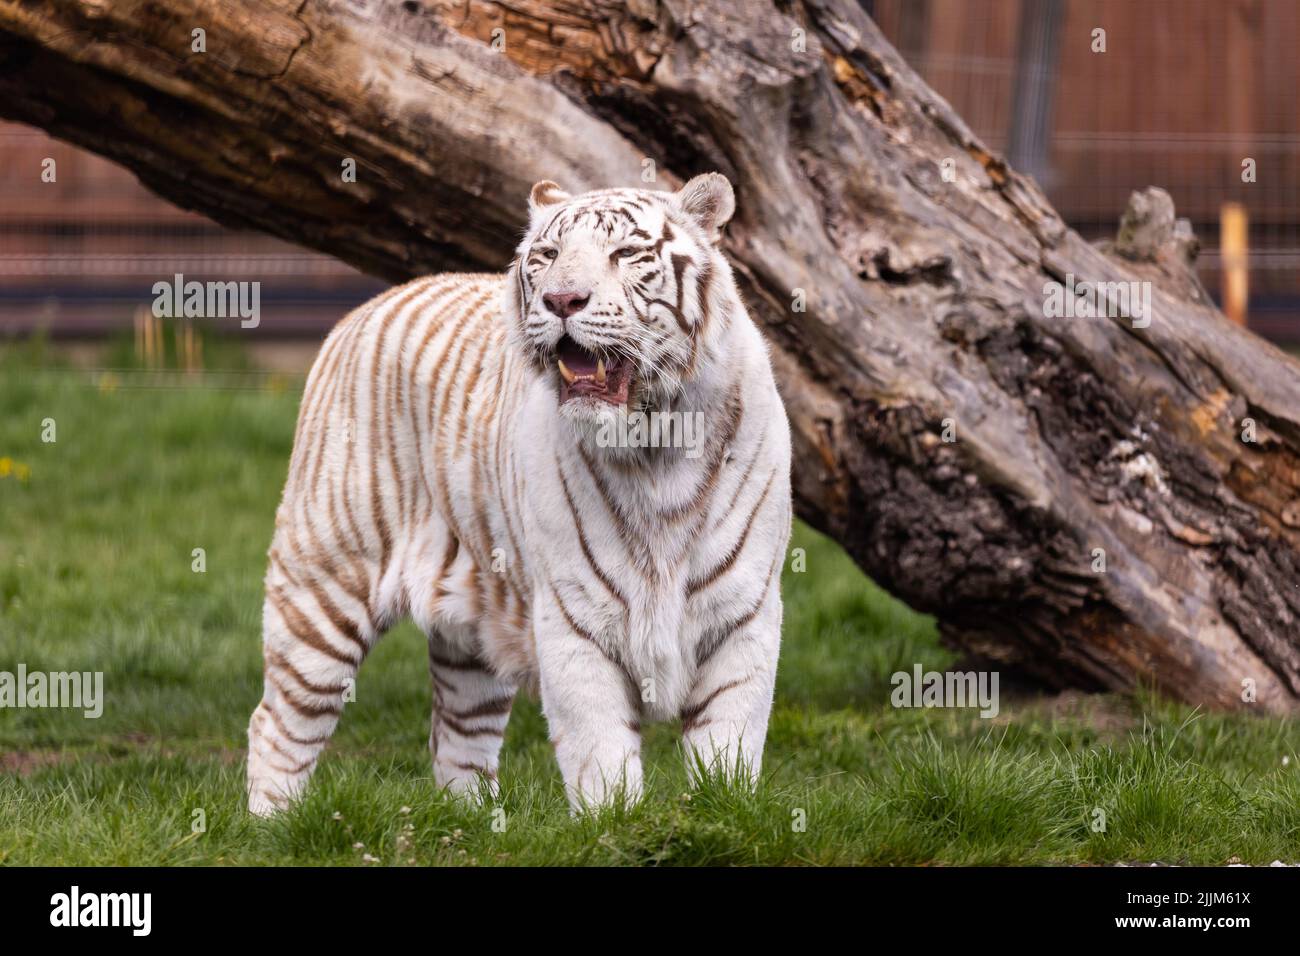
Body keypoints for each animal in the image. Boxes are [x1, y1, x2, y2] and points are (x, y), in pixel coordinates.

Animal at [246, 173, 793, 814]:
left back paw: (474, 823)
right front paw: (616, 823)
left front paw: (724, 809)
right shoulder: (576, 621)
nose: (562, 301)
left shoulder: (743, 616)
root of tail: (361, 310)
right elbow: (603, 758)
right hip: (326, 585)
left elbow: (727, 752)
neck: (655, 444)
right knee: (278, 723)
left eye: (625, 254)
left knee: (457, 739)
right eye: (548, 256)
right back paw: (270, 825)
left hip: (471, 639)